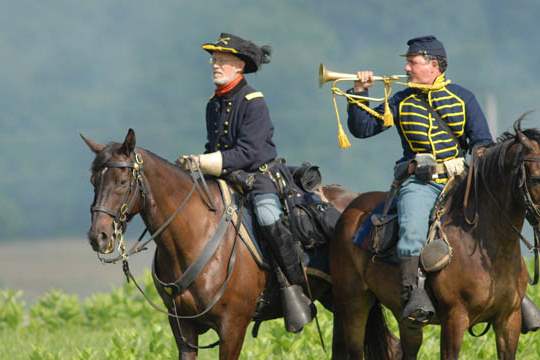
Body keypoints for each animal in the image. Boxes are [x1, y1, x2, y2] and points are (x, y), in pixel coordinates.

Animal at [82, 129, 356, 358]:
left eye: (122, 182)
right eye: (93, 181)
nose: (98, 236)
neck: (195, 235)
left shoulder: (232, 327)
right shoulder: (183, 329)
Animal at [330, 116, 540, 358]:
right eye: (536, 178)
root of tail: (350, 210)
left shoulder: (508, 320)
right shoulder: (454, 319)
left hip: (405, 320)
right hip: (353, 304)